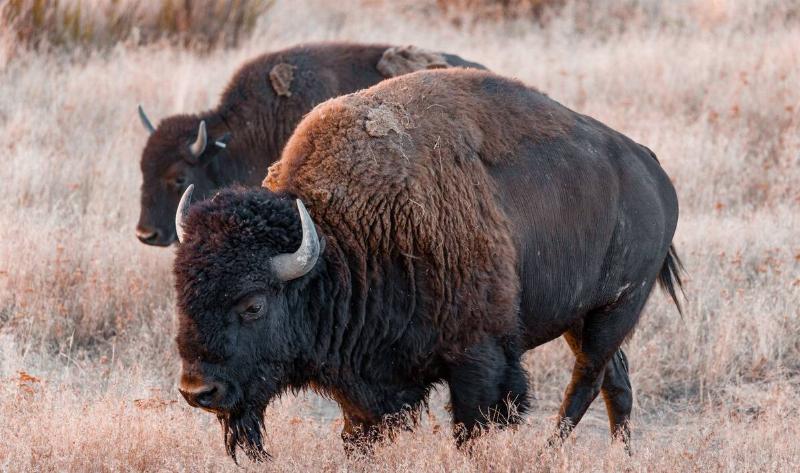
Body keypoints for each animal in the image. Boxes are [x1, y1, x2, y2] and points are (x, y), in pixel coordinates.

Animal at [172, 68, 683, 461]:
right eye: (182, 294)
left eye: (253, 305)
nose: (198, 391)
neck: (344, 239)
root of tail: (651, 168)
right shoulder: (366, 387)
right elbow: (359, 435)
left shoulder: (480, 359)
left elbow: (473, 430)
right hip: (582, 317)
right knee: (616, 382)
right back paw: (622, 456)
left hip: (615, 309)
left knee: (587, 381)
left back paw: (548, 453)